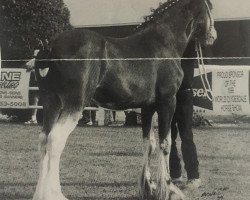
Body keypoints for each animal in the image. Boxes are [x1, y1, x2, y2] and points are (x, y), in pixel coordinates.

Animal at [32, 0, 217, 199]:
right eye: (210, 7)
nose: (213, 36)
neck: (163, 43)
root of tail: (50, 47)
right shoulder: (167, 102)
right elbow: (165, 143)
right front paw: (167, 189)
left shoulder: (148, 108)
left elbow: (148, 144)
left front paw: (148, 188)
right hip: (74, 104)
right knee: (55, 139)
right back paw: (54, 193)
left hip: (51, 103)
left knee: (43, 139)